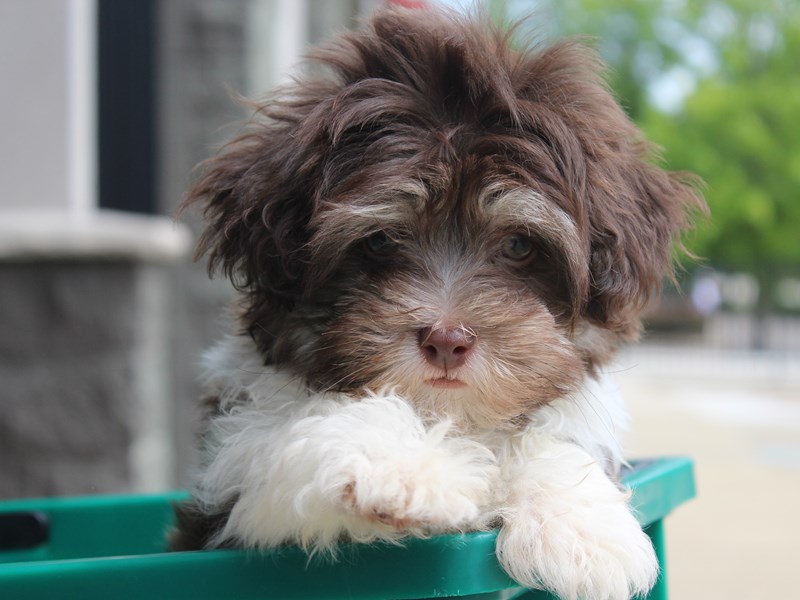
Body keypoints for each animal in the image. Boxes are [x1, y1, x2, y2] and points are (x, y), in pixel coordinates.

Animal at [172, 5, 704, 600]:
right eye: (380, 241)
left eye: (519, 246)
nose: (447, 340)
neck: (451, 422)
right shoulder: (231, 486)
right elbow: (298, 430)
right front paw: (396, 467)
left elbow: (548, 435)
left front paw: (581, 530)